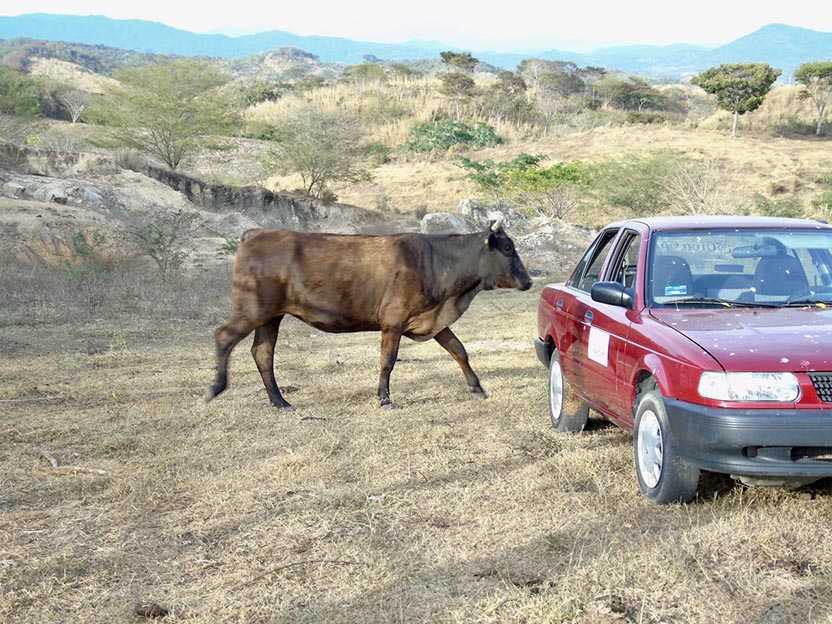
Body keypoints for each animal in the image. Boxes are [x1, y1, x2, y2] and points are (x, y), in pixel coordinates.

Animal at [205, 220, 532, 409]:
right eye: (507, 247)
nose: (528, 281)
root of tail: (256, 233)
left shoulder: (433, 321)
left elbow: (459, 350)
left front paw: (477, 387)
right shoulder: (393, 322)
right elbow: (388, 361)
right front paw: (384, 398)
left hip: (271, 316)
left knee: (262, 353)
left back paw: (280, 401)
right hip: (253, 308)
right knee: (224, 336)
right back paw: (215, 388)